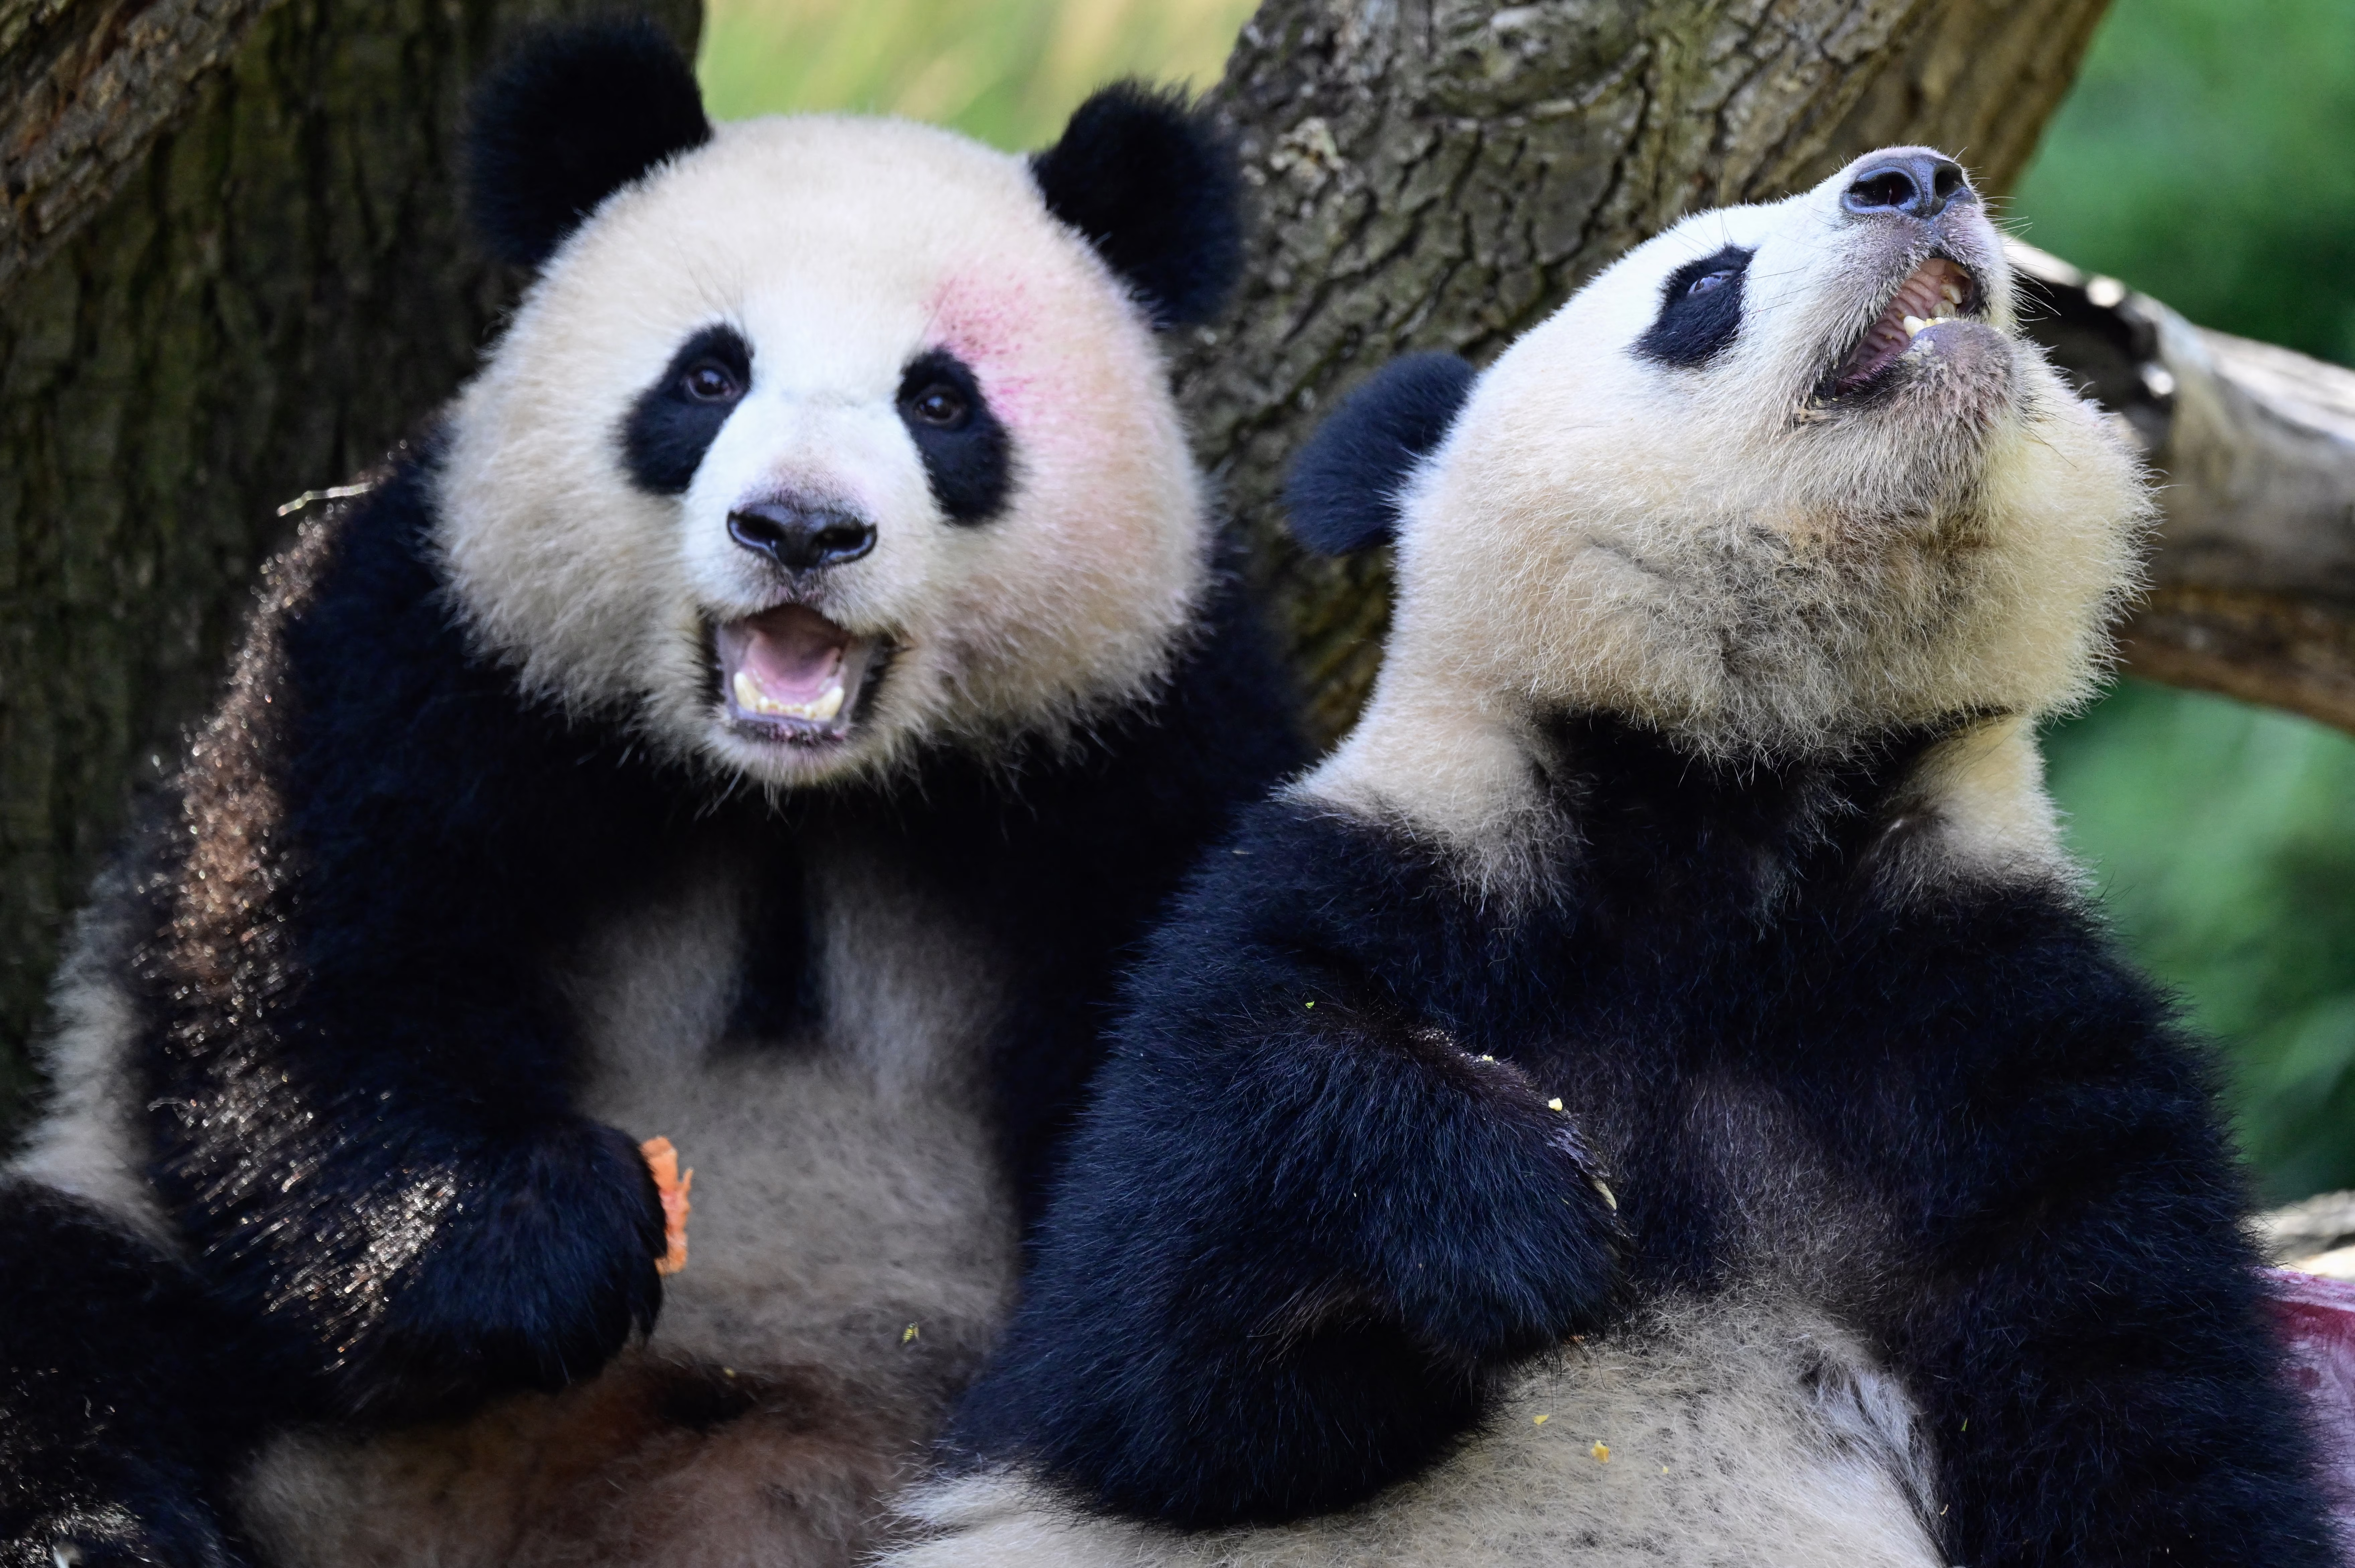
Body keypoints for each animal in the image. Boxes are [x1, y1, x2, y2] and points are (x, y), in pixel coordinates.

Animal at [0, 22, 1300, 1568]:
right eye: (706, 378)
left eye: (940, 401)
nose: (800, 528)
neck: (789, 794)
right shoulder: (422, 642)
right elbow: (302, 972)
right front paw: (538, 1234)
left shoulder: (1151, 734)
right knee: (67, 1312)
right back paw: (96, 1532)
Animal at [876, 149, 2341, 1567]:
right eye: (1703, 283)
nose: (1919, 178)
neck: (1734, 810)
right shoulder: (1366, 884)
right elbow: (1153, 1354)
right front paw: (1516, 1209)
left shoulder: (1990, 1027)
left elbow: (2143, 1428)